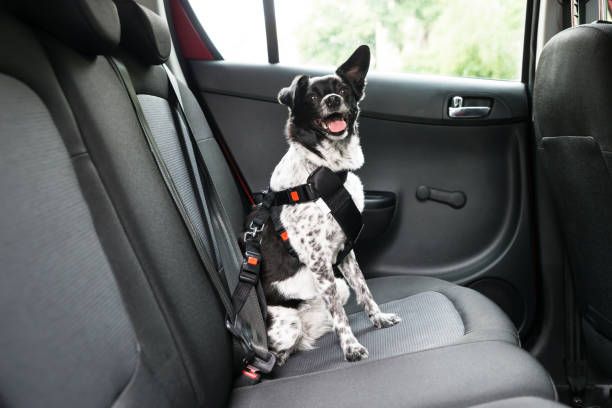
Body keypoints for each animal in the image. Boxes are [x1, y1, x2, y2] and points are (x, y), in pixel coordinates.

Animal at [256, 45, 400, 366]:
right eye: (311, 97)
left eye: (343, 90)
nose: (332, 100)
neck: (323, 170)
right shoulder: (319, 262)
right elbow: (341, 316)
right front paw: (350, 347)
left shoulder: (346, 252)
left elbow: (364, 290)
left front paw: (378, 319)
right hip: (288, 324)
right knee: (272, 356)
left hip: (336, 289)